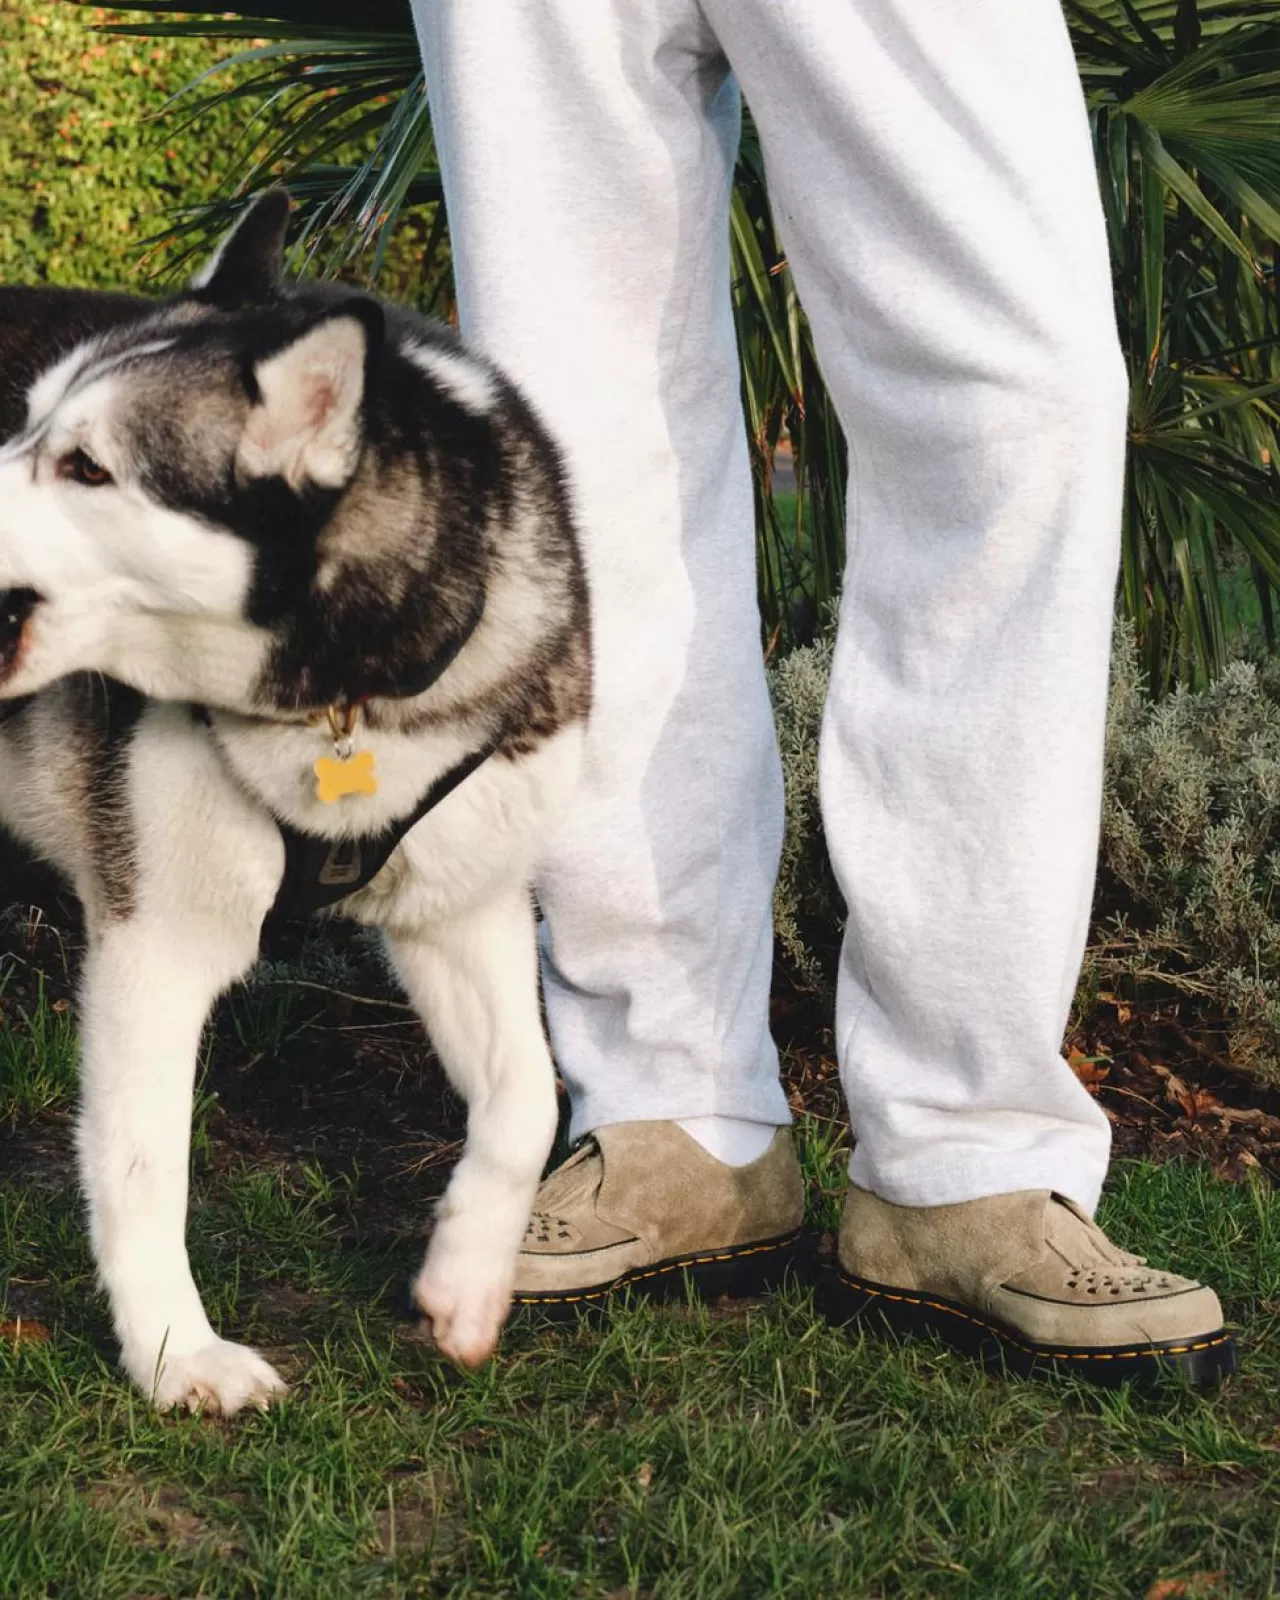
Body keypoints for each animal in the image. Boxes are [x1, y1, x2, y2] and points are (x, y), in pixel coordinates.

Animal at [0, 190, 588, 1414]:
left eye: (85, 467)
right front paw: (176, 1355)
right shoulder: (153, 945)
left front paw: (465, 1280)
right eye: (25, 424)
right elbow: (144, 1166)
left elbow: (527, 1100)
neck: (341, 697)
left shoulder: (463, 907)